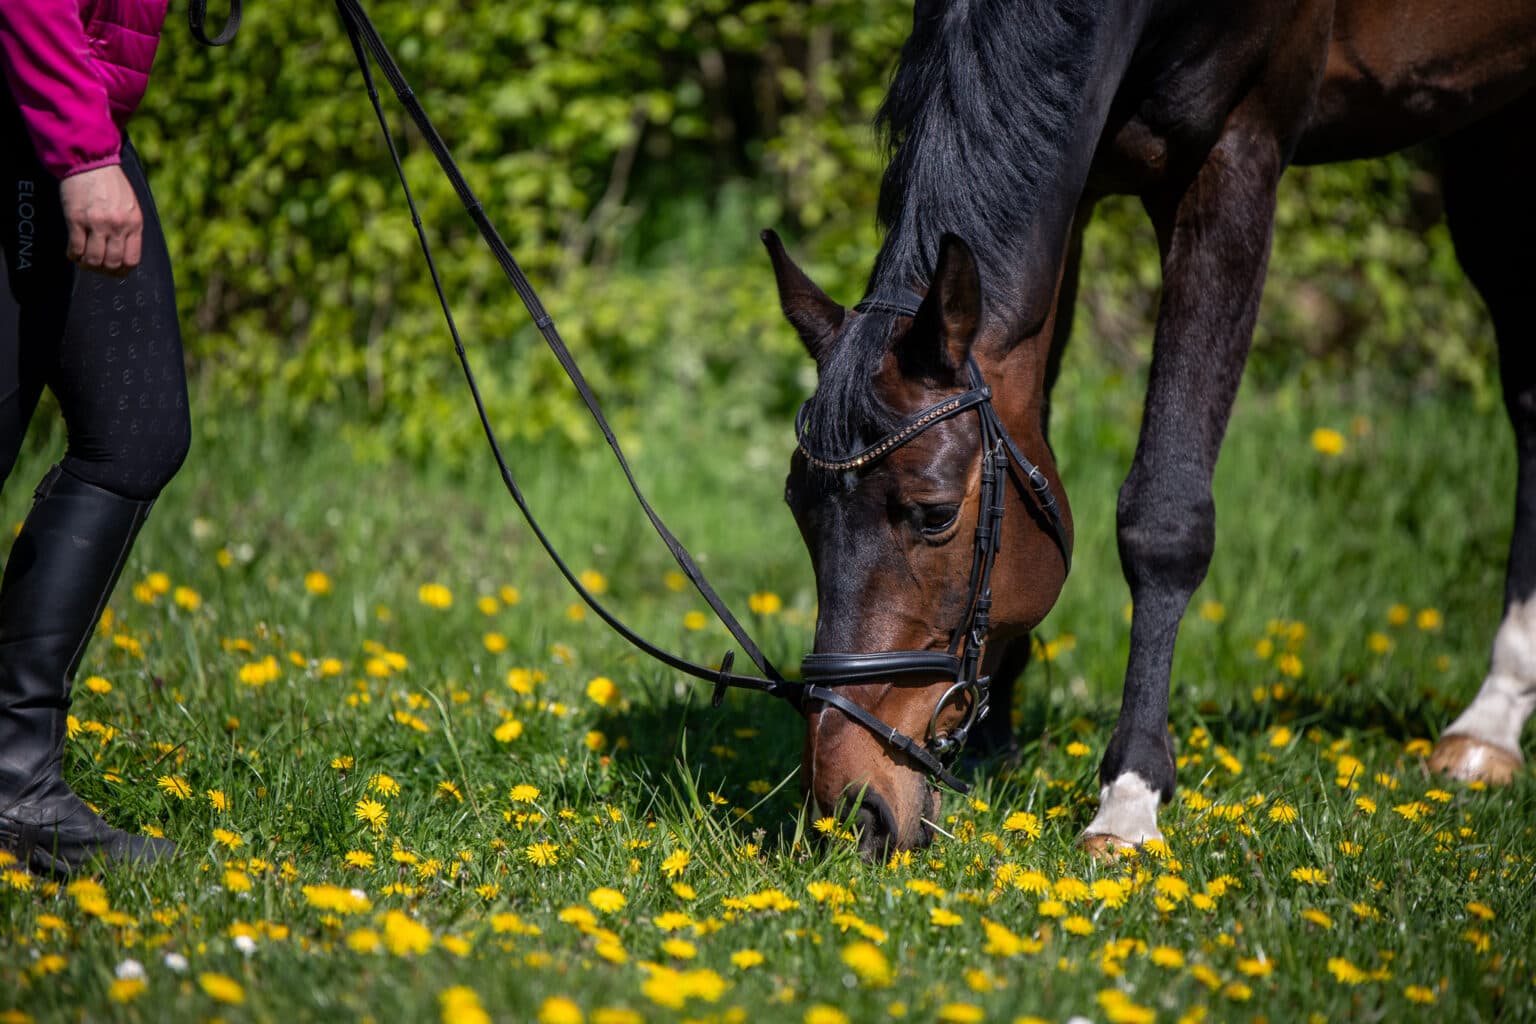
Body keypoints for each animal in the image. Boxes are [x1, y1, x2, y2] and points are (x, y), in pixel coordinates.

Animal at [766, 0, 1536, 857]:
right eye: (800, 512)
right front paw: (994, 745)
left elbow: (1163, 518)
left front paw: (1129, 799)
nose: (848, 809)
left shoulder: (1235, 154)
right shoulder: (1072, 191)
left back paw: (1493, 717)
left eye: (933, 515)